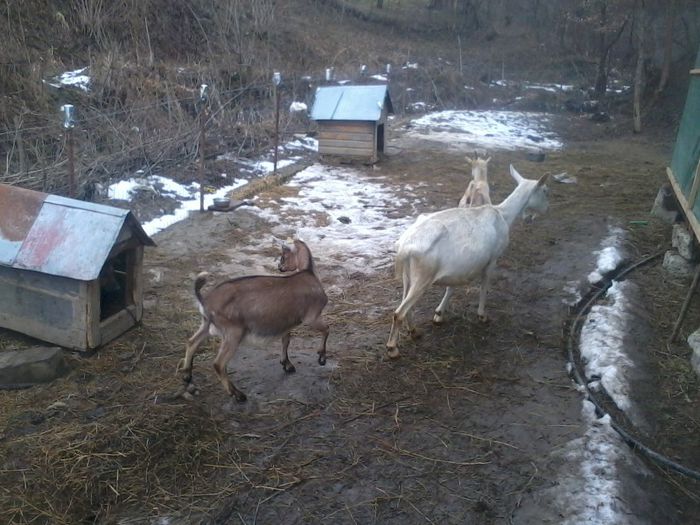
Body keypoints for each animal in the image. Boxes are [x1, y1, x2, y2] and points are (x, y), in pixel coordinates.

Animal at [175, 239, 328, 400]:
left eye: (283, 256)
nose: (280, 267)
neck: (309, 274)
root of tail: (205, 301)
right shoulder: (311, 317)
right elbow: (326, 330)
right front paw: (321, 358)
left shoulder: (287, 323)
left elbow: (286, 341)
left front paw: (287, 364)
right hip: (233, 332)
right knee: (219, 364)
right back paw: (237, 394)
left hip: (206, 324)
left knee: (192, 342)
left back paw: (187, 376)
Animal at [386, 166, 548, 358]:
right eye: (545, 191)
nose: (545, 209)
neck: (503, 215)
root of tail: (405, 246)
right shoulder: (493, 258)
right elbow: (485, 286)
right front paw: (482, 316)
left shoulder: (458, 266)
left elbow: (451, 287)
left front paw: (439, 314)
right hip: (423, 276)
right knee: (399, 312)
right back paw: (393, 348)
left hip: (408, 275)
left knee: (405, 305)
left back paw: (415, 332)